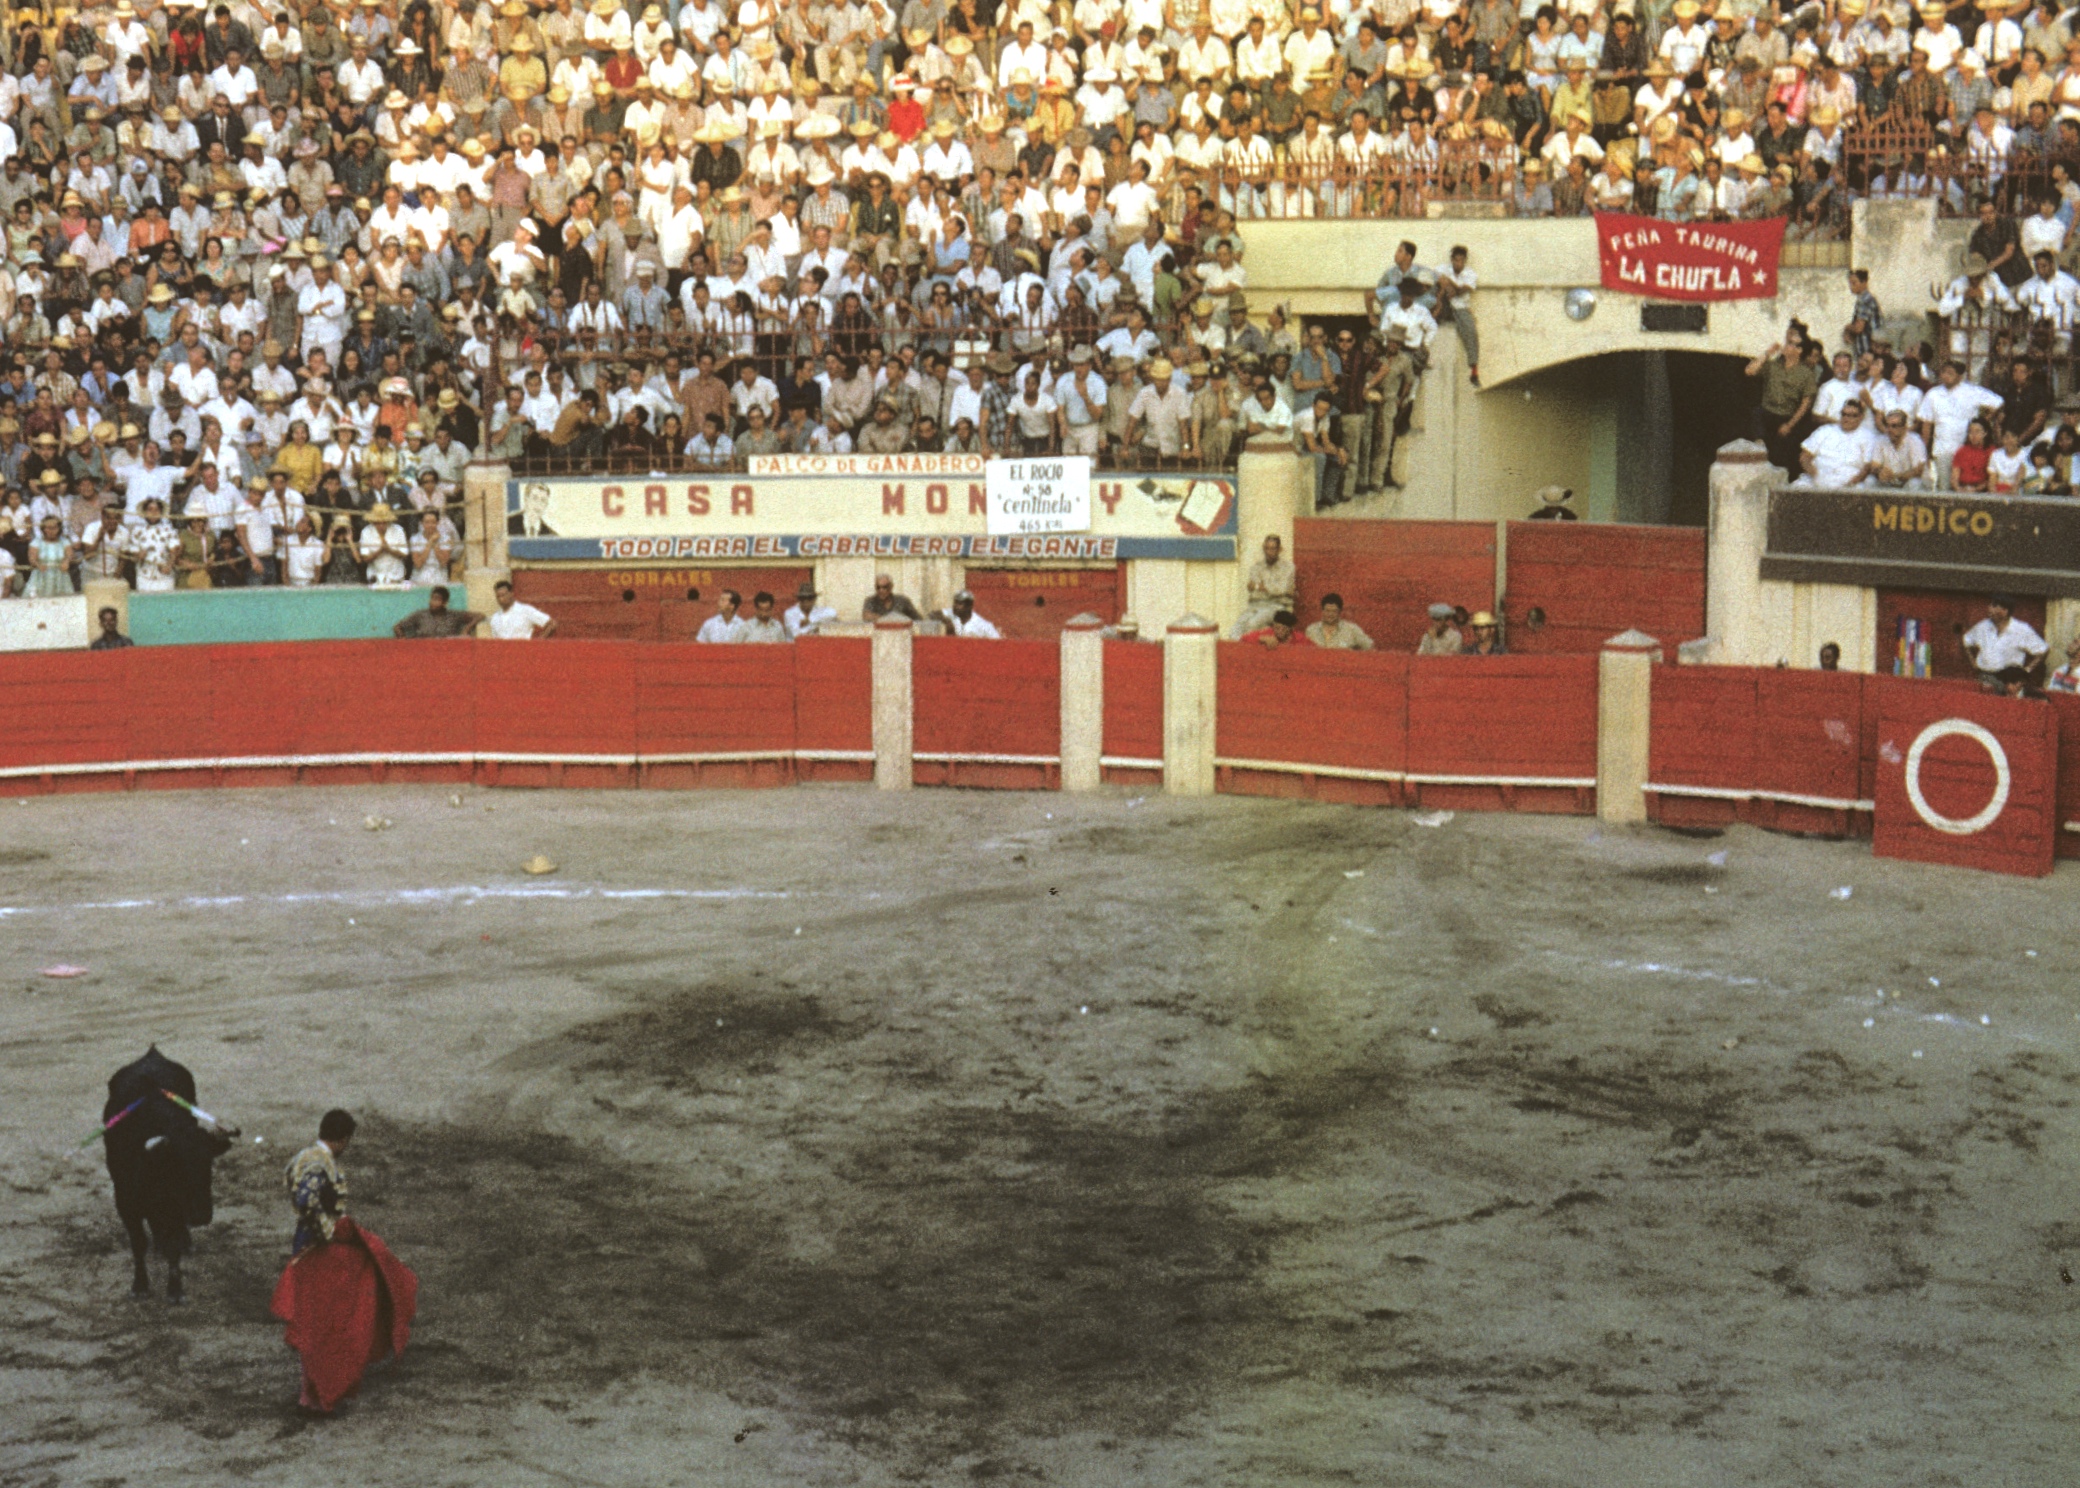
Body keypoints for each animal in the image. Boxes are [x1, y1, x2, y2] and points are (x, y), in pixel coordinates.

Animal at [103, 1048, 236, 1306]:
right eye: (178, 1167)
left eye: (209, 1165)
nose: (200, 1216)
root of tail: (152, 1054)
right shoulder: (126, 1202)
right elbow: (138, 1243)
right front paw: (140, 1286)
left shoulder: (174, 1205)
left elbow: (173, 1245)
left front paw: (175, 1289)